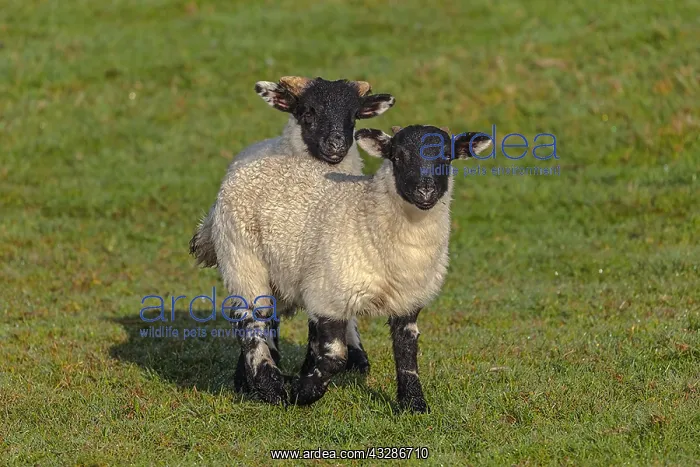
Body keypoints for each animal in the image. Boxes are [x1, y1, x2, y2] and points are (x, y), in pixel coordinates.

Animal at [189, 76, 396, 399]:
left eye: (354, 116)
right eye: (308, 112)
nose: (336, 145)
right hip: (242, 259)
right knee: (252, 318)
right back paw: (266, 383)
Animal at [210, 122, 491, 411]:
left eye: (446, 158)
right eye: (397, 157)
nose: (425, 192)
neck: (365, 216)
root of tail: (251, 156)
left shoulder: (408, 300)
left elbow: (407, 351)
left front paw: (414, 404)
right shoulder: (329, 294)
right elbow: (335, 357)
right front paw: (303, 392)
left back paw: (247, 384)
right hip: (241, 256)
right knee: (250, 322)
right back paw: (270, 388)